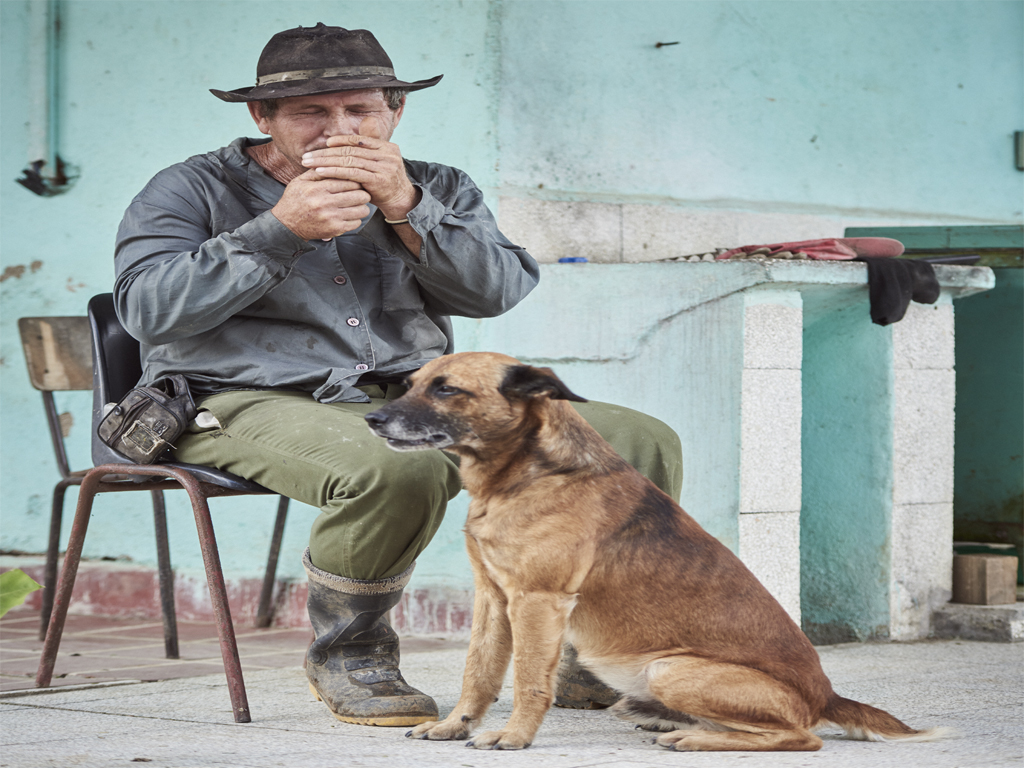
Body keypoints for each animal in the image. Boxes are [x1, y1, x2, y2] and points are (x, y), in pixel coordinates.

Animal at [364, 354, 946, 753]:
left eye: (447, 389)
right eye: (413, 385)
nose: (373, 420)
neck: (528, 471)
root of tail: (825, 695)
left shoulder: (538, 601)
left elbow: (529, 680)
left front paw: (515, 736)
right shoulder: (494, 598)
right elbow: (479, 672)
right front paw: (454, 726)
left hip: (671, 668)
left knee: (802, 737)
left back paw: (694, 738)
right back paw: (676, 723)